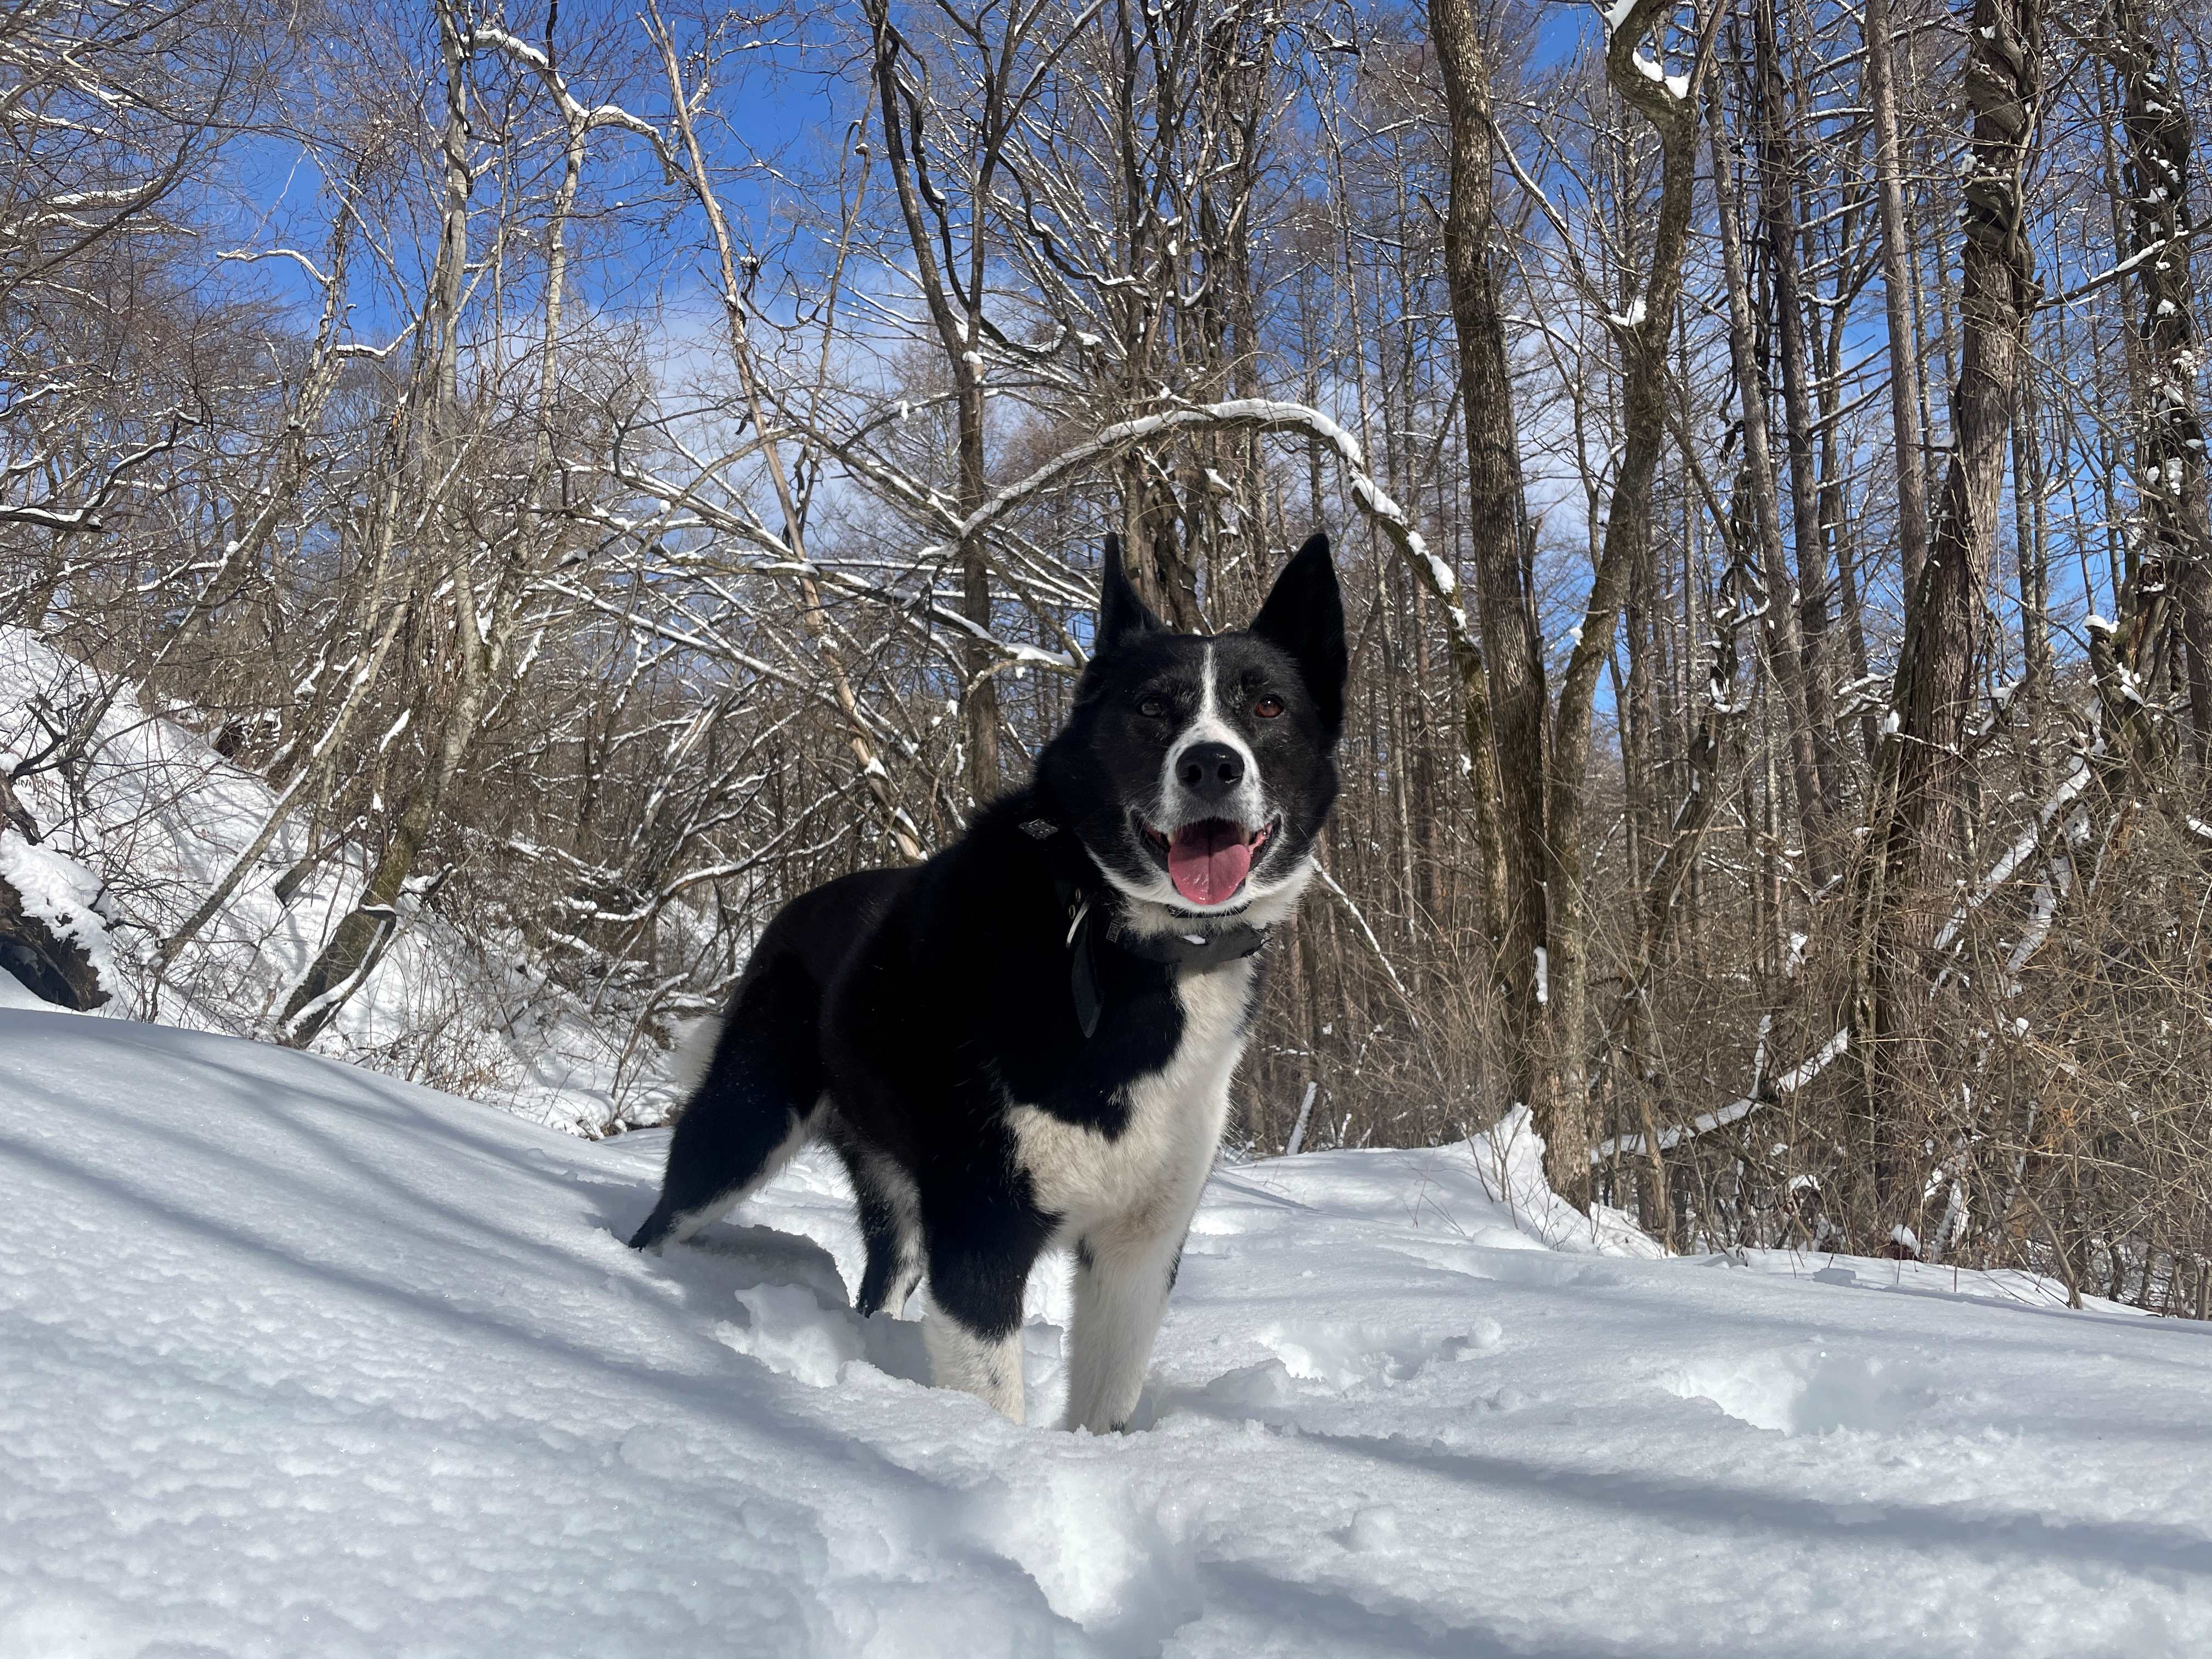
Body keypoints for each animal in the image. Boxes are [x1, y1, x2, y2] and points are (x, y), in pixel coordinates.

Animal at [628, 531, 1346, 1430]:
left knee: (883, 1278)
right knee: (670, 1210)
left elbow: (1106, 1405)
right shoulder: (982, 1227)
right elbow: (993, 1400)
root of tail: (796, 908)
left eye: (1270, 707)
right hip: (745, 1122)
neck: (1126, 942)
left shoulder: (1139, 1252)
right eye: (1152, 709)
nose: (1212, 764)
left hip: (894, 1199)